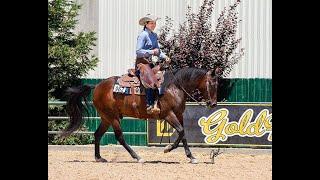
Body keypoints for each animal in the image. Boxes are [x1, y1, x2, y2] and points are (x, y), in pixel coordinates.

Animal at [62, 65, 221, 165]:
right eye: (212, 84)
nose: (213, 104)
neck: (174, 87)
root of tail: (97, 86)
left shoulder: (178, 115)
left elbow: (183, 135)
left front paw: (191, 157)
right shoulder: (168, 114)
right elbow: (181, 132)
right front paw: (168, 148)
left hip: (106, 118)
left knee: (97, 134)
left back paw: (99, 158)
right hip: (113, 117)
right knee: (120, 137)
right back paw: (137, 157)